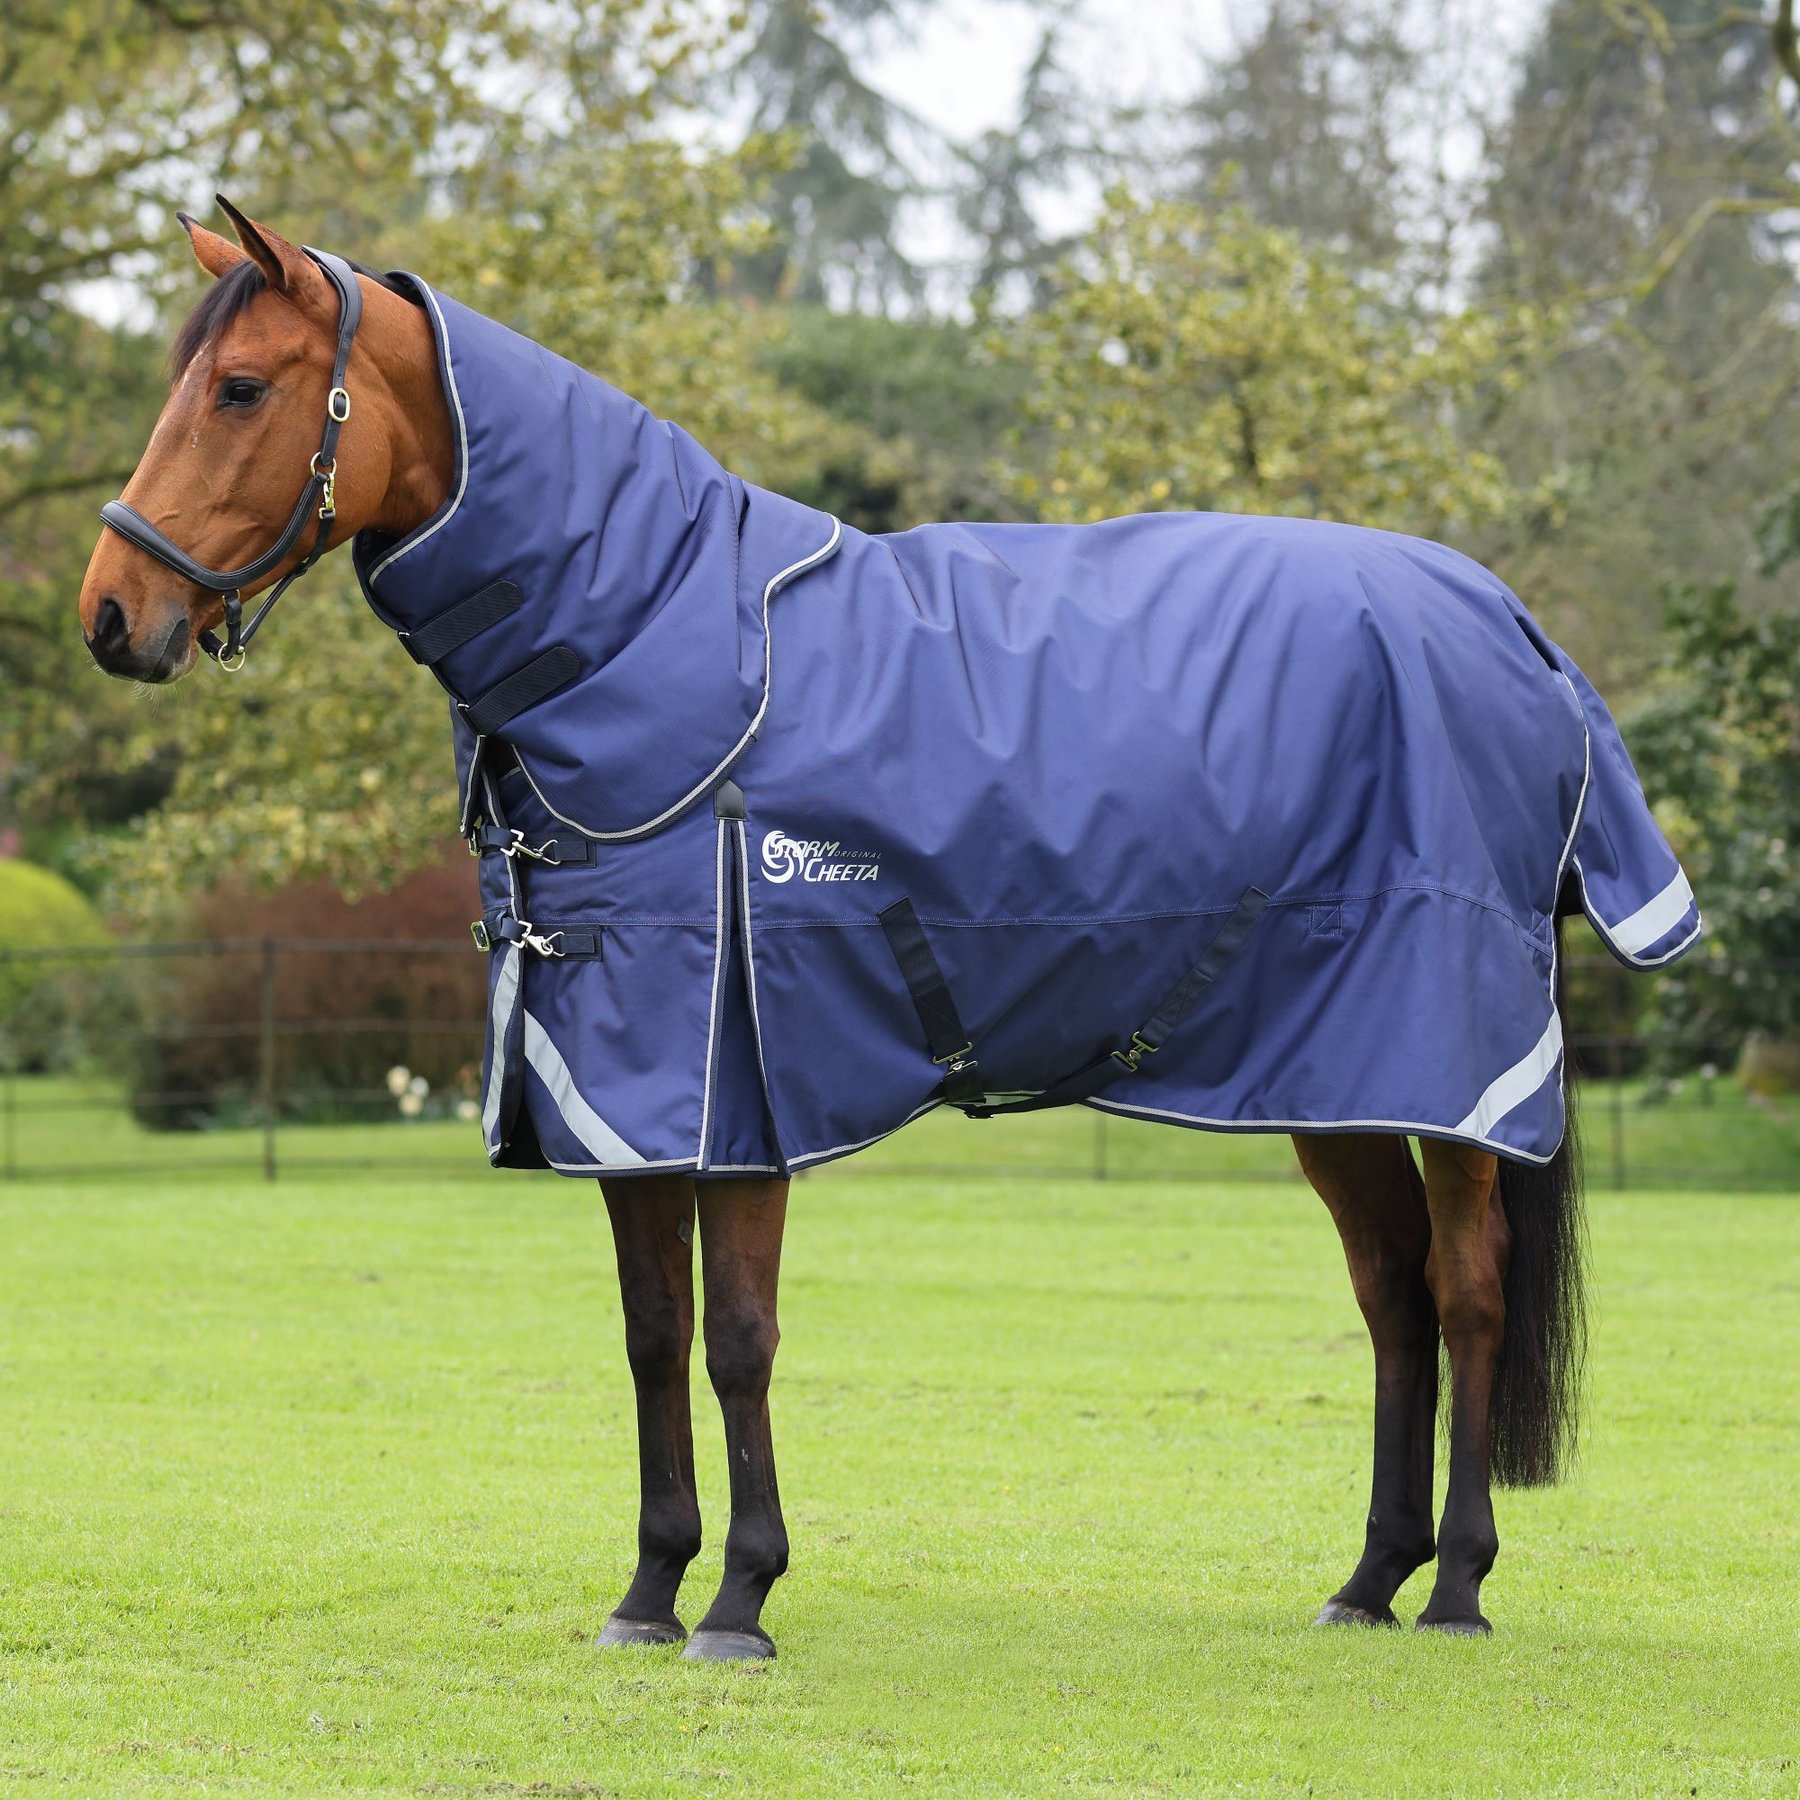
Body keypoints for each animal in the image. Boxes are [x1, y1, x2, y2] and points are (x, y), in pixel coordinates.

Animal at [79, 201, 1694, 1661]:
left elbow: (739, 1341)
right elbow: (653, 1336)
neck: (649, 642)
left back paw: (1461, 1585)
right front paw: (648, 1593)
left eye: (240, 387)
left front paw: (740, 1601)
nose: (111, 613)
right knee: (1394, 1299)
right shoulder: (621, 1084)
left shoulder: (738, 1078)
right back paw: (1370, 1580)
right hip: (1327, 1077)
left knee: (1469, 1297)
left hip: (1446, 1065)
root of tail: (1515, 631)